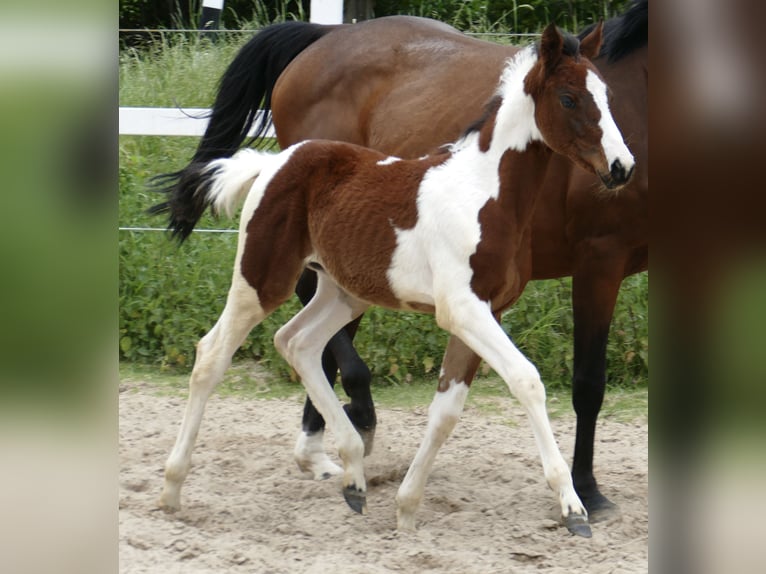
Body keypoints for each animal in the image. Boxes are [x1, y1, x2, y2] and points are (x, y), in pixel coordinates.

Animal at [152, 2, 648, 520]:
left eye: (608, 95)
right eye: (569, 99)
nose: (621, 168)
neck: (484, 191)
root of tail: (272, 163)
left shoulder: (486, 310)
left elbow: (447, 408)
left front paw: (408, 505)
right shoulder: (468, 307)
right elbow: (528, 380)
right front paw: (574, 504)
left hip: (344, 292)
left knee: (297, 343)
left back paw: (351, 471)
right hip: (261, 278)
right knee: (212, 353)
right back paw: (173, 487)